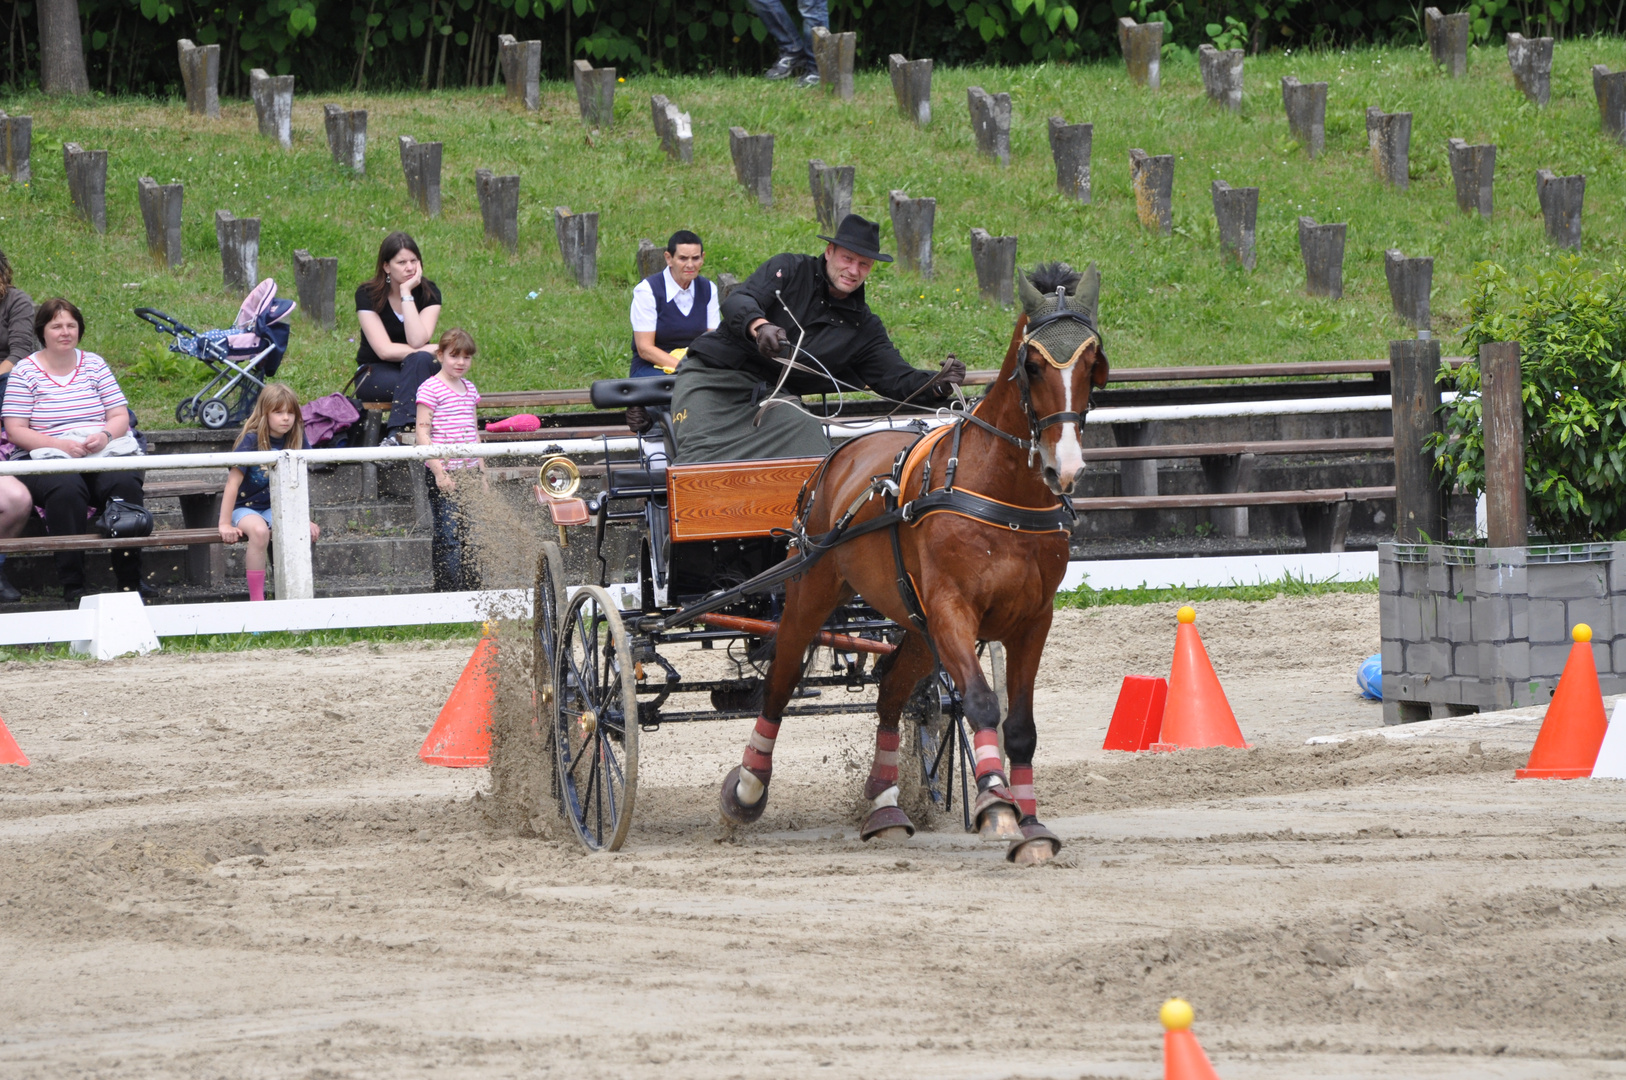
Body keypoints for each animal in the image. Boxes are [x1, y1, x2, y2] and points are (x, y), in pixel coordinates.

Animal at [721, 261, 1112, 858]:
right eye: (1034, 364)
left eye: (1092, 364)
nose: (1063, 468)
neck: (1001, 492)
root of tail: (837, 457)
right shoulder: (952, 610)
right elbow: (980, 702)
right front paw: (996, 803)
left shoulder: (1032, 620)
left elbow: (1020, 726)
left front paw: (1031, 824)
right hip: (813, 589)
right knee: (781, 683)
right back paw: (747, 787)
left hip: (916, 623)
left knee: (890, 690)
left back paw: (884, 804)